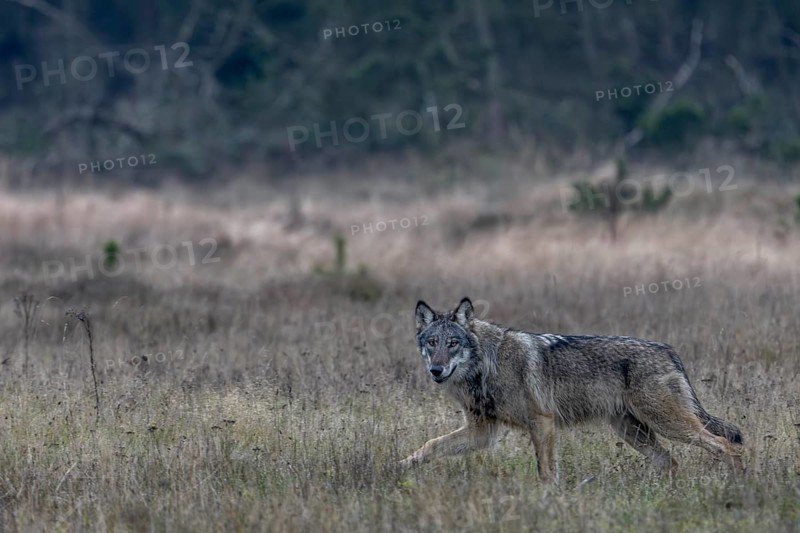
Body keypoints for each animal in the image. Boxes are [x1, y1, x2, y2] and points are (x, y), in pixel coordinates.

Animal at [400, 298, 744, 481]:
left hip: (668, 425)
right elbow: (431, 444)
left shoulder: (542, 422)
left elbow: (546, 470)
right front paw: (401, 465)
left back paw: (738, 482)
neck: (486, 364)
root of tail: (669, 350)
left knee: (725, 444)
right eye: (432, 343)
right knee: (672, 463)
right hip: (634, 433)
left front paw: (548, 500)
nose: (436, 370)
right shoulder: (482, 431)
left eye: (452, 344)